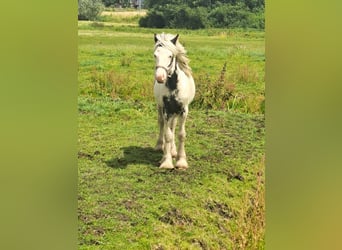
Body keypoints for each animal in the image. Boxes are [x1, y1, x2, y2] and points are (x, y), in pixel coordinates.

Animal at [152, 32, 195, 170]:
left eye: (170, 56)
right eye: (155, 55)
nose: (160, 77)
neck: (173, 86)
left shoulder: (183, 111)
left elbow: (181, 134)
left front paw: (181, 161)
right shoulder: (166, 110)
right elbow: (168, 135)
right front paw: (166, 161)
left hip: (175, 113)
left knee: (173, 126)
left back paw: (173, 151)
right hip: (161, 108)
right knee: (163, 125)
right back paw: (161, 147)